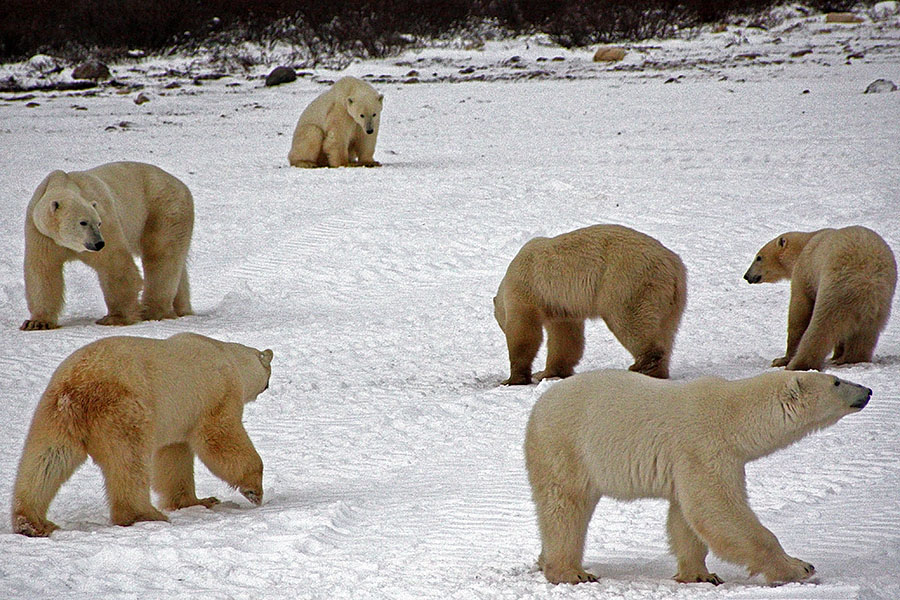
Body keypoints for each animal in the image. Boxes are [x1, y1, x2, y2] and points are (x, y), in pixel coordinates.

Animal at [11, 332, 274, 540]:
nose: (268, 383)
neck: (227, 355)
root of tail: (78, 386)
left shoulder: (179, 417)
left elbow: (174, 457)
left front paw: (199, 501)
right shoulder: (216, 392)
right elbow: (220, 436)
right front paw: (254, 490)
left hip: (55, 413)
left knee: (46, 459)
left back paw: (32, 522)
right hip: (124, 409)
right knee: (129, 463)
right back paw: (145, 515)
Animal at [22, 163, 193, 332]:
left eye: (98, 223)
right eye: (83, 222)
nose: (99, 243)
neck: (63, 182)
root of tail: (180, 184)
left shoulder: (107, 219)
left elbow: (114, 264)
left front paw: (115, 318)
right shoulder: (41, 233)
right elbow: (43, 270)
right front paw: (37, 323)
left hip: (163, 209)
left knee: (161, 254)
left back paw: (153, 311)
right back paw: (181, 309)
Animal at [492, 225, 684, 384]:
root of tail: (672, 266)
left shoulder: (527, 290)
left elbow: (525, 334)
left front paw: (512, 379)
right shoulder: (561, 307)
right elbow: (566, 337)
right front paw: (548, 373)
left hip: (627, 281)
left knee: (630, 320)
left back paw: (642, 365)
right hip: (671, 300)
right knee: (666, 330)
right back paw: (657, 372)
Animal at [528, 368, 872, 584]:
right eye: (836, 381)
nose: (868, 391)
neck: (734, 415)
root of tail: (539, 406)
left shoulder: (691, 460)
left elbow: (687, 517)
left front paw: (701, 575)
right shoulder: (705, 445)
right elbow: (717, 509)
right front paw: (799, 567)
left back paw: (545, 560)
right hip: (567, 447)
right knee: (566, 507)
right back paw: (572, 572)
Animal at [740, 226, 896, 370]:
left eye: (759, 257)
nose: (747, 276)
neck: (805, 243)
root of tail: (867, 283)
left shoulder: (805, 271)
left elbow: (799, 312)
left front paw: (782, 359)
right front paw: (837, 355)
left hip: (836, 288)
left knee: (821, 326)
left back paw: (797, 364)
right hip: (880, 303)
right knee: (865, 335)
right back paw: (850, 359)